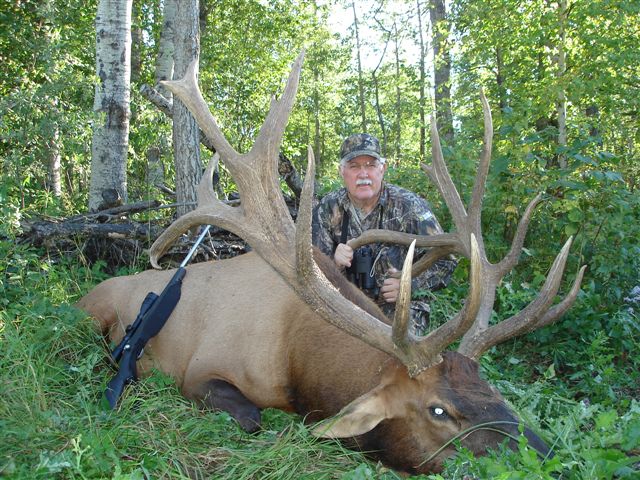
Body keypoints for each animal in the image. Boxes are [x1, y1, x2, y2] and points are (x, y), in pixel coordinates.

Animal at [77, 52, 585, 474]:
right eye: (439, 409)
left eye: (492, 390)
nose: (548, 457)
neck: (296, 357)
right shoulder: (200, 371)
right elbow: (252, 417)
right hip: (91, 314)